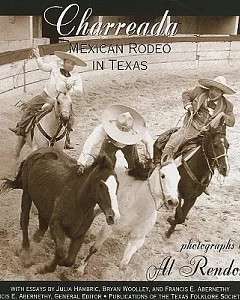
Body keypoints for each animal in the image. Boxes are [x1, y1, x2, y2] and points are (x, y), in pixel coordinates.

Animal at [0, 146, 120, 274]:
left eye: (117, 184)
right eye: (101, 184)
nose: (113, 216)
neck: (77, 202)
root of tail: (39, 151)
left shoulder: (79, 234)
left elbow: (69, 260)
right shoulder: (56, 224)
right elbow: (61, 251)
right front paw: (43, 268)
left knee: (41, 226)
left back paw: (35, 239)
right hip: (27, 194)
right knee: (24, 221)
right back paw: (26, 255)